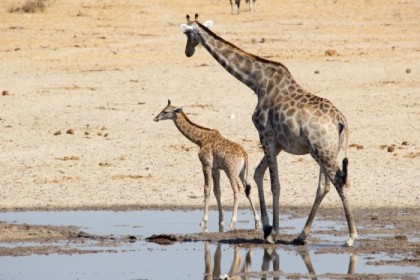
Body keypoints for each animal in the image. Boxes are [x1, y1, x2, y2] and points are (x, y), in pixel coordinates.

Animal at [153, 99, 260, 231]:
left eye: (165, 111)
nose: (155, 118)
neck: (200, 140)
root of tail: (244, 154)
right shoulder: (215, 168)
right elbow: (217, 191)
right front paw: (221, 220)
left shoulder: (206, 165)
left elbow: (207, 189)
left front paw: (203, 221)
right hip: (242, 172)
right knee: (247, 189)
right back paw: (257, 220)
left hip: (231, 171)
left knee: (237, 189)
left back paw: (233, 221)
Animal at [180, 13, 358, 245]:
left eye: (187, 34)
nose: (187, 52)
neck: (256, 82)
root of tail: (340, 120)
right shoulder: (278, 142)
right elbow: (257, 174)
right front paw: (266, 227)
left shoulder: (265, 134)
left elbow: (275, 183)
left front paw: (273, 232)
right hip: (325, 151)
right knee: (324, 186)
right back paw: (302, 235)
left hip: (322, 150)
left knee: (338, 182)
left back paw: (351, 237)